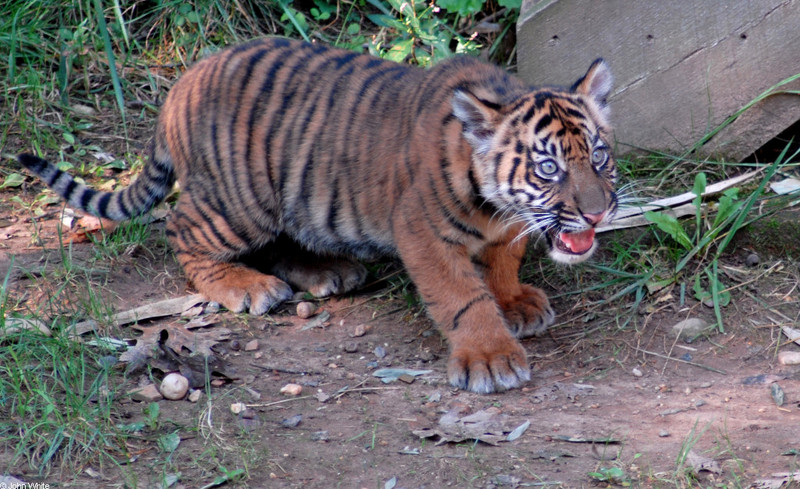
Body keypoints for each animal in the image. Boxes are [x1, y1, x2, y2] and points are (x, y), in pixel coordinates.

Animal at [18, 36, 620, 392]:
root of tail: (181, 84)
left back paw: (327, 271)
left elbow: (502, 261)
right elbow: (460, 296)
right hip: (243, 200)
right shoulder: (421, 230)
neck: (497, 204)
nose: (597, 215)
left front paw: (514, 301)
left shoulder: (507, 226)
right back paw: (246, 287)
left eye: (599, 156)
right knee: (182, 229)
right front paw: (491, 357)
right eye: (548, 169)